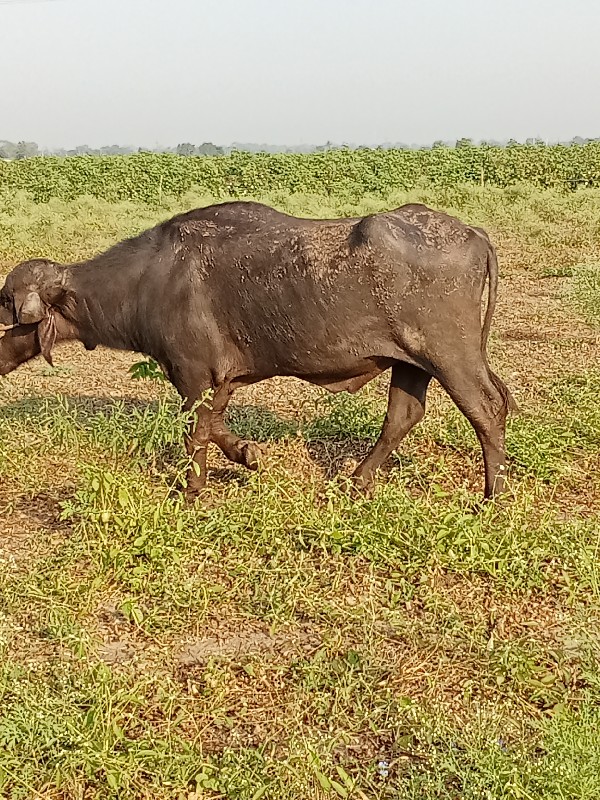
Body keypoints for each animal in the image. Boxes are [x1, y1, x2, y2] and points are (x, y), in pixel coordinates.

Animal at [1, 200, 516, 496]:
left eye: (7, 301)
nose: (1, 347)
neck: (150, 279)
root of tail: (475, 235)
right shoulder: (221, 381)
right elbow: (216, 428)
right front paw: (246, 455)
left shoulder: (192, 375)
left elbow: (195, 433)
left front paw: (190, 489)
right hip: (411, 362)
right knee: (403, 417)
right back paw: (358, 481)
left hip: (451, 356)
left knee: (488, 408)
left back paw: (492, 494)